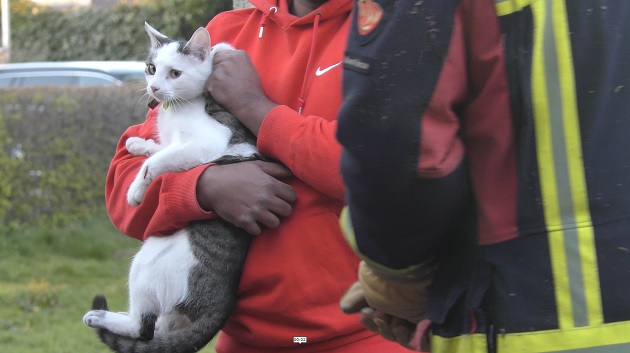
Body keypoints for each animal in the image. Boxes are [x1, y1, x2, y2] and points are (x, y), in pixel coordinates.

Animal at [83, 22, 260, 352]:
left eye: (175, 73)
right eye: (151, 68)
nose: (154, 88)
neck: (176, 108)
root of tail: (222, 304)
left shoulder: (207, 142)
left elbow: (157, 162)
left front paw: (136, 189)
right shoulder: (176, 142)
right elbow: (161, 150)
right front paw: (140, 144)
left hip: (151, 257)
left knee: (143, 328)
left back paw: (101, 317)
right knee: (158, 331)